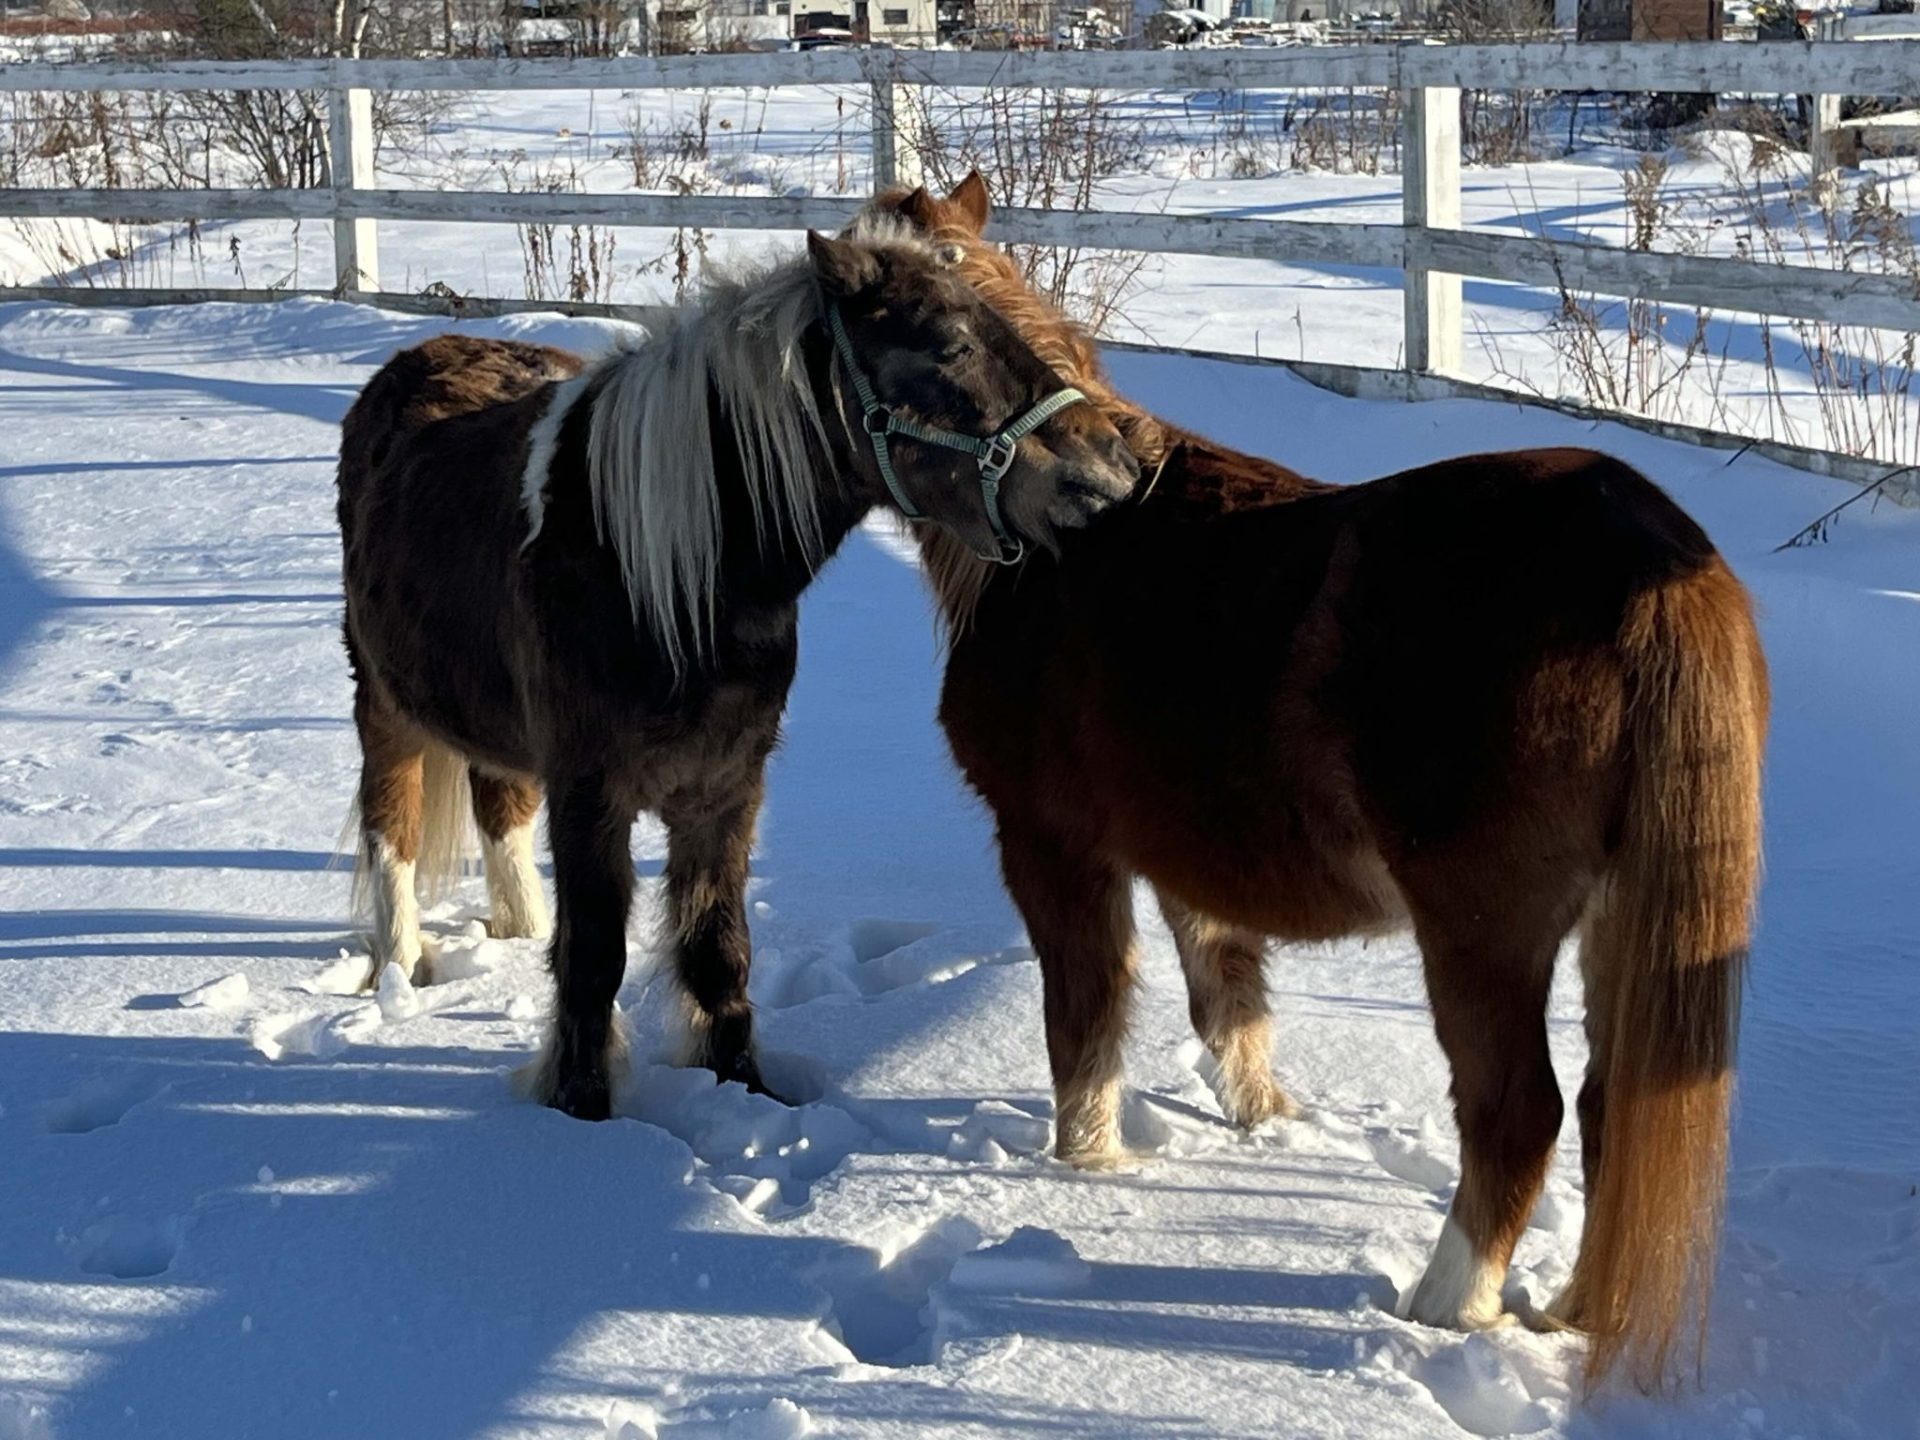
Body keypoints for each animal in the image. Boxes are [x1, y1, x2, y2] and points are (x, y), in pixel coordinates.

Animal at [335, 221, 1140, 1124]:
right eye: (953, 345)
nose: (1112, 471)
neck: (658, 576)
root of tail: (416, 360)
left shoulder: (725, 789)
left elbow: (718, 949)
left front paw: (744, 1091)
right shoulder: (591, 795)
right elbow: (594, 959)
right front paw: (582, 1115)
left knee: (498, 803)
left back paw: (518, 927)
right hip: (384, 703)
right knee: (393, 828)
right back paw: (402, 969)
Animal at [858, 178, 1768, 1392]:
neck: (1062, 546)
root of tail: (1646, 555)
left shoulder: (1051, 844)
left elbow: (1084, 1018)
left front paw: (1086, 1168)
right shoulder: (1186, 859)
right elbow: (1228, 1000)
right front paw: (1262, 1122)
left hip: (1484, 934)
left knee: (1516, 1112)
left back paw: (1443, 1309)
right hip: (1622, 924)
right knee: (1611, 1104)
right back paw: (1569, 1309)